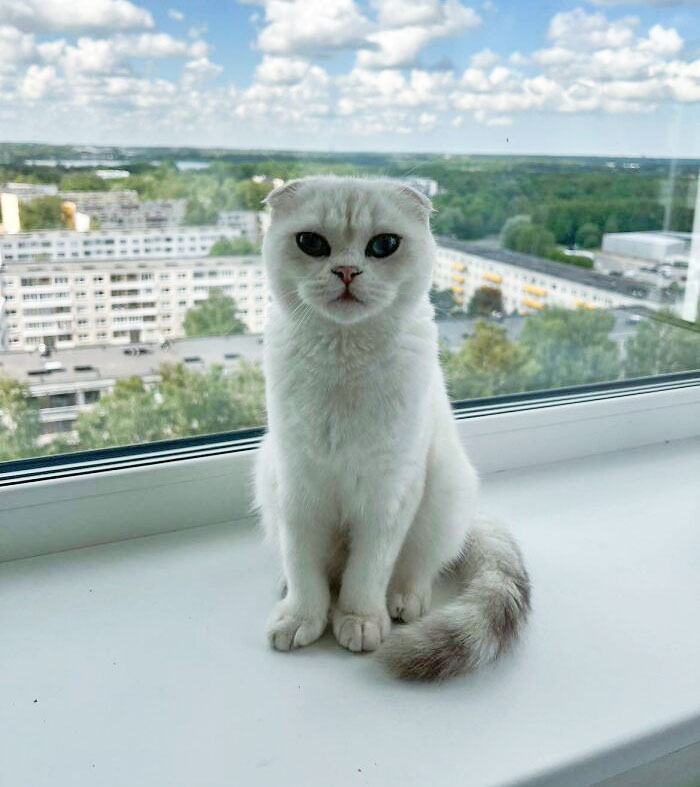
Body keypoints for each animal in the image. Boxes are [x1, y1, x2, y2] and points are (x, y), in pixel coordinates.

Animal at [253, 175, 532, 680]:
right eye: (312, 243)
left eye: (383, 245)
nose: (346, 271)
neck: (344, 360)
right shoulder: (298, 489)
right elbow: (305, 570)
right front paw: (302, 619)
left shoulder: (387, 494)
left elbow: (366, 575)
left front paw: (359, 621)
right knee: (314, 567)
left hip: (444, 490)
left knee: (417, 567)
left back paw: (403, 602)